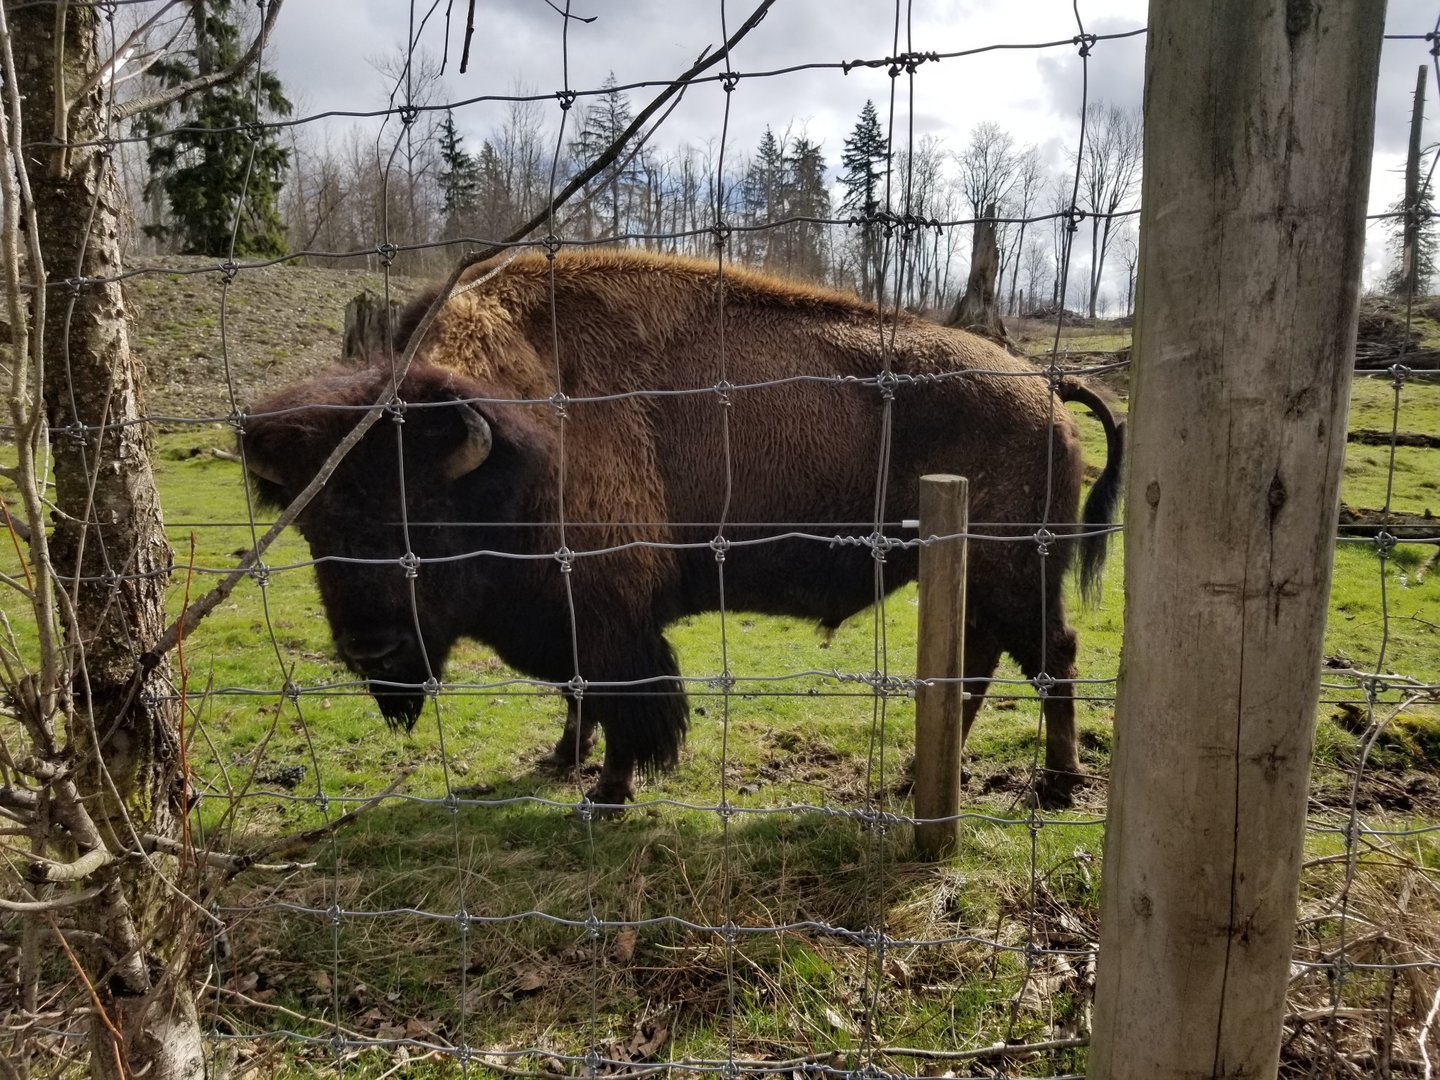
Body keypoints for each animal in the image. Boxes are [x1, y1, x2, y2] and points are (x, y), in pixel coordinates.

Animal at [241, 250, 1122, 807]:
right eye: (312, 524)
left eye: (422, 512)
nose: (371, 650)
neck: (518, 444)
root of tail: (1045, 386)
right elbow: (579, 695)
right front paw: (561, 759)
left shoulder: (612, 616)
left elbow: (621, 703)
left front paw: (606, 793)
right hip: (980, 574)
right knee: (980, 662)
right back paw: (921, 774)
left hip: (1017, 571)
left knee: (1051, 656)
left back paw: (1055, 785)